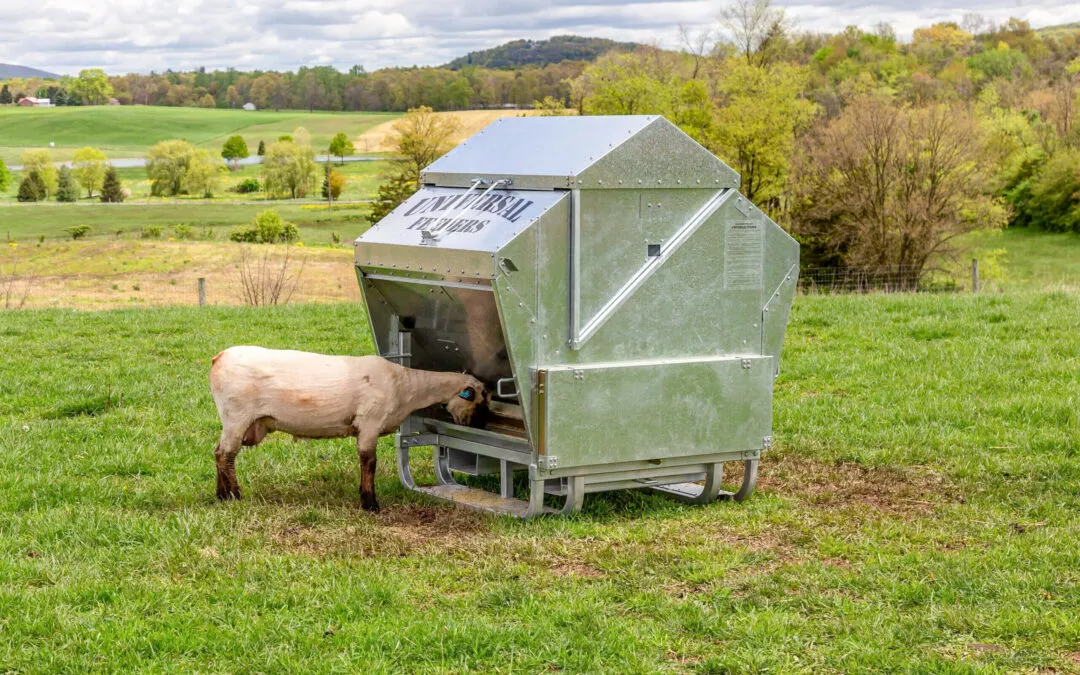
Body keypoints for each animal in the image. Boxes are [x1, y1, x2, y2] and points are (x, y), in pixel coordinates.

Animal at [209, 346, 491, 512]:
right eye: (479, 400)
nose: (480, 425)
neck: (406, 386)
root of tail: (218, 357)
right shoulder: (369, 423)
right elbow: (369, 462)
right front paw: (370, 503)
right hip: (237, 415)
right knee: (226, 455)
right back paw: (234, 495)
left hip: (232, 420)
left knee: (218, 452)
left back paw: (222, 495)